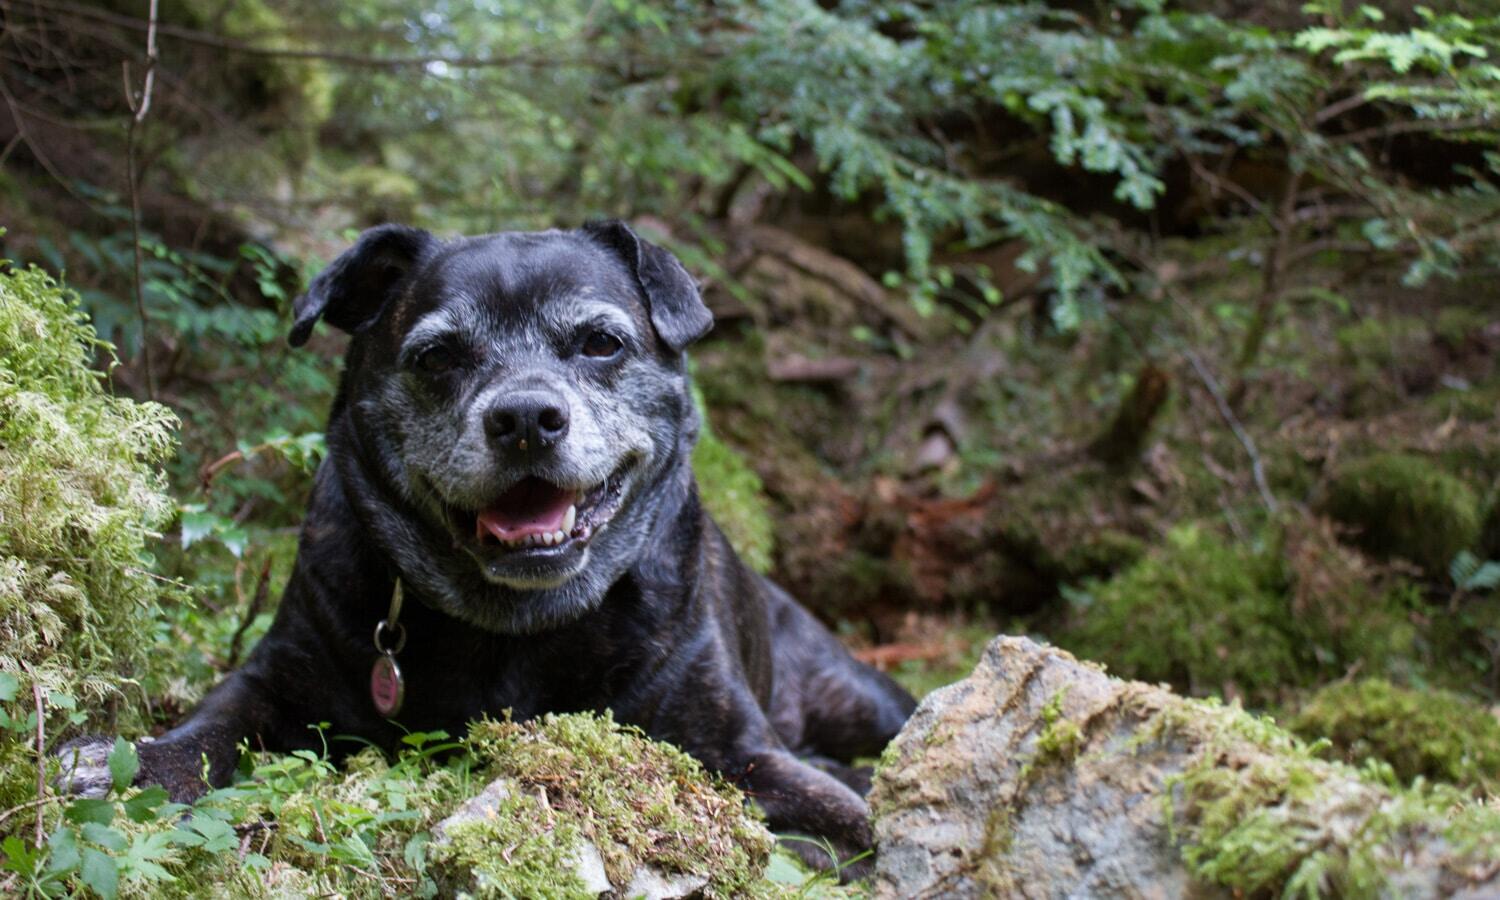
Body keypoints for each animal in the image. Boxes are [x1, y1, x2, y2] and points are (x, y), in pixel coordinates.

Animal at [61, 219, 912, 870]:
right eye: (438, 355)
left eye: (601, 343)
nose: (526, 418)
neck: (514, 627)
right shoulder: (277, 676)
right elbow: (210, 726)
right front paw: (132, 763)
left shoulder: (739, 749)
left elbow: (843, 823)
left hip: (862, 696)